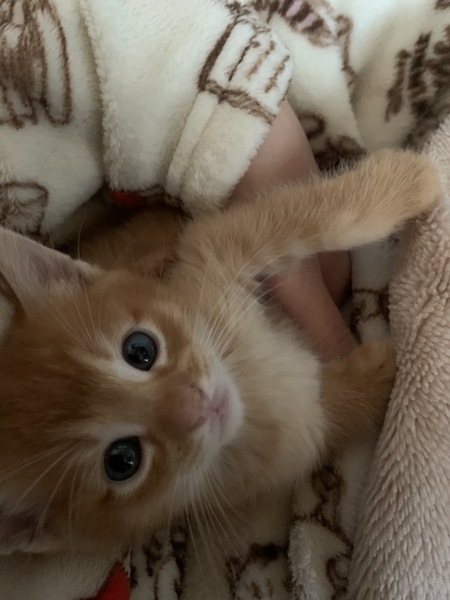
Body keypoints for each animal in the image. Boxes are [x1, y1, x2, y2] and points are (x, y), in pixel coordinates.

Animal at [0, 149, 439, 555]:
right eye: (122, 461)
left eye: (139, 350)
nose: (199, 403)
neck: (242, 371)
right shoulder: (286, 448)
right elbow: (325, 413)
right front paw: (378, 378)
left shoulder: (212, 245)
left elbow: (313, 217)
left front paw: (406, 181)